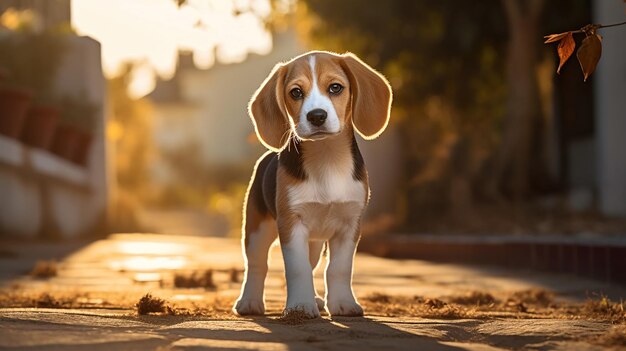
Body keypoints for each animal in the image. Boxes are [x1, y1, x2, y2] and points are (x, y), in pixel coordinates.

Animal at [234, 50, 390, 320]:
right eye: (296, 92)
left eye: (335, 87)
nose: (316, 116)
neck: (326, 158)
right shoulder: (291, 223)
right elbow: (298, 269)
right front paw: (299, 307)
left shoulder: (350, 225)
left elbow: (339, 269)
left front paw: (342, 304)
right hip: (257, 229)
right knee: (256, 264)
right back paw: (249, 302)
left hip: (315, 242)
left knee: (312, 262)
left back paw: (316, 298)